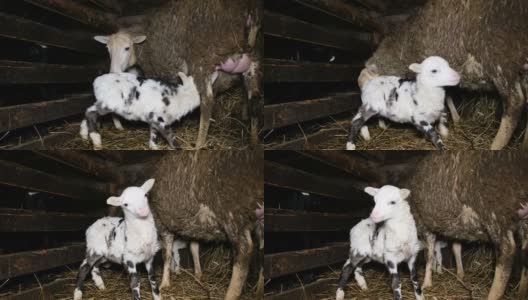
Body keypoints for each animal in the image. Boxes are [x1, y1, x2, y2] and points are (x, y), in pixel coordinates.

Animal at [94, 0, 262, 149]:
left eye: (127, 48)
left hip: (203, 61)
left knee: (207, 102)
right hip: (252, 62)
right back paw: (254, 142)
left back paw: (199, 145)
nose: (113, 71)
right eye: (108, 49)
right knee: (254, 99)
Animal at [366, 0, 528, 150]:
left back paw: (496, 146)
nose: (380, 123)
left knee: (515, 102)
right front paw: (456, 119)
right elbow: (447, 95)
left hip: (500, 57)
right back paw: (524, 144)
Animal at [404, 152, 528, 300]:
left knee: (507, 252)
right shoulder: (455, 227)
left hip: (495, 213)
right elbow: (456, 247)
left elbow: (429, 255)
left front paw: (427, 283)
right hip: (522, 221)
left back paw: (493, 294)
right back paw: (522, 292)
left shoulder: (425, 223)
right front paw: (460, 275)